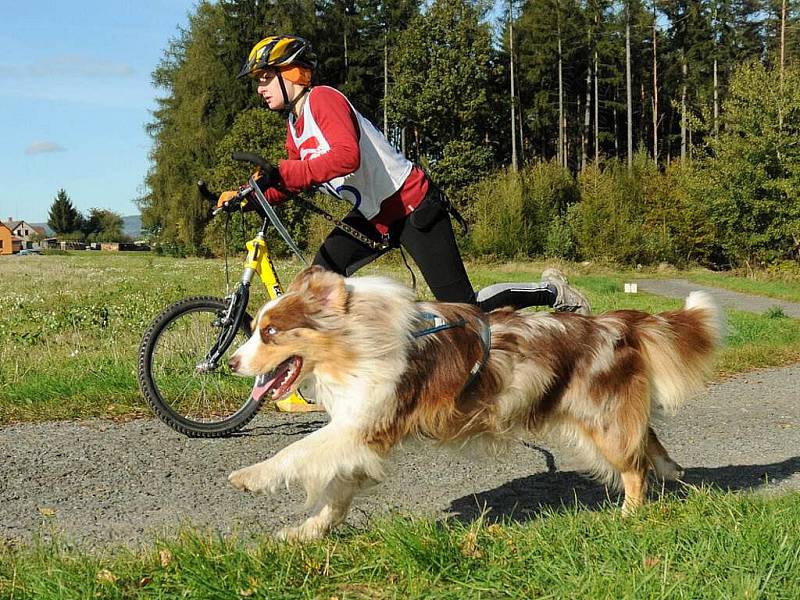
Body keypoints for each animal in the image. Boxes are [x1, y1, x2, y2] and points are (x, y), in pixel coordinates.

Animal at [227, 266, 724, 540]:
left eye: (270, 333)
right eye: (255, 330)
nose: (229, 361)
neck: (355, 340)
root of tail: (615, 323)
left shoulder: (365, 424)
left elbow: (297, 450)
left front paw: (252, 477)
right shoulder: (362, 434)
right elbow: (336, 494)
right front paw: (307, 532)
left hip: (598, 417)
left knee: (633, 465)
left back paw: (630, 514)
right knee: (647, 439)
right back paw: (674, 474)